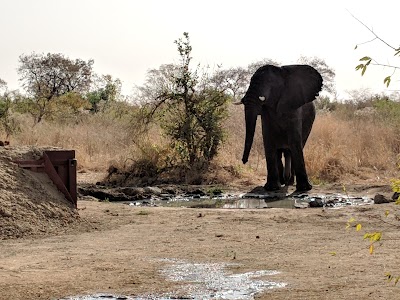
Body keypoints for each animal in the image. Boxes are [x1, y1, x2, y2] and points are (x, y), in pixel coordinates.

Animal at [238, 64, 322, 193]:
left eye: (269, 82)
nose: (244, 161)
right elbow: (268, 140)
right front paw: (272, 188)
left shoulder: (293, 107)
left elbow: (294, 142)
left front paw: (304, 189)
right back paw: (283, 181)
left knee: (293, 149)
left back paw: (290, 182)